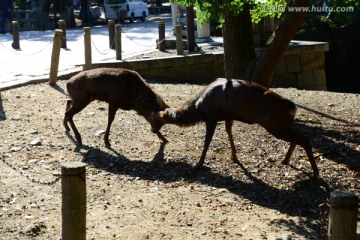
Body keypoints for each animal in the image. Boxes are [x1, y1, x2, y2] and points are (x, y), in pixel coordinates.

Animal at [153, 78, 320, 177]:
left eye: (155, 118)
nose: (153, 130)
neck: (198, 108)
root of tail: (292, 107)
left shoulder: (212, 117)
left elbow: (207, 141)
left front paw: (199, 164)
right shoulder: (228, 116)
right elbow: (229, 132)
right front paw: (233, 156)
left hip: (275, 125)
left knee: (304, 138)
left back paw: (316, 173)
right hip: (283, 125)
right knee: (298, 138)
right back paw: (285, 160)